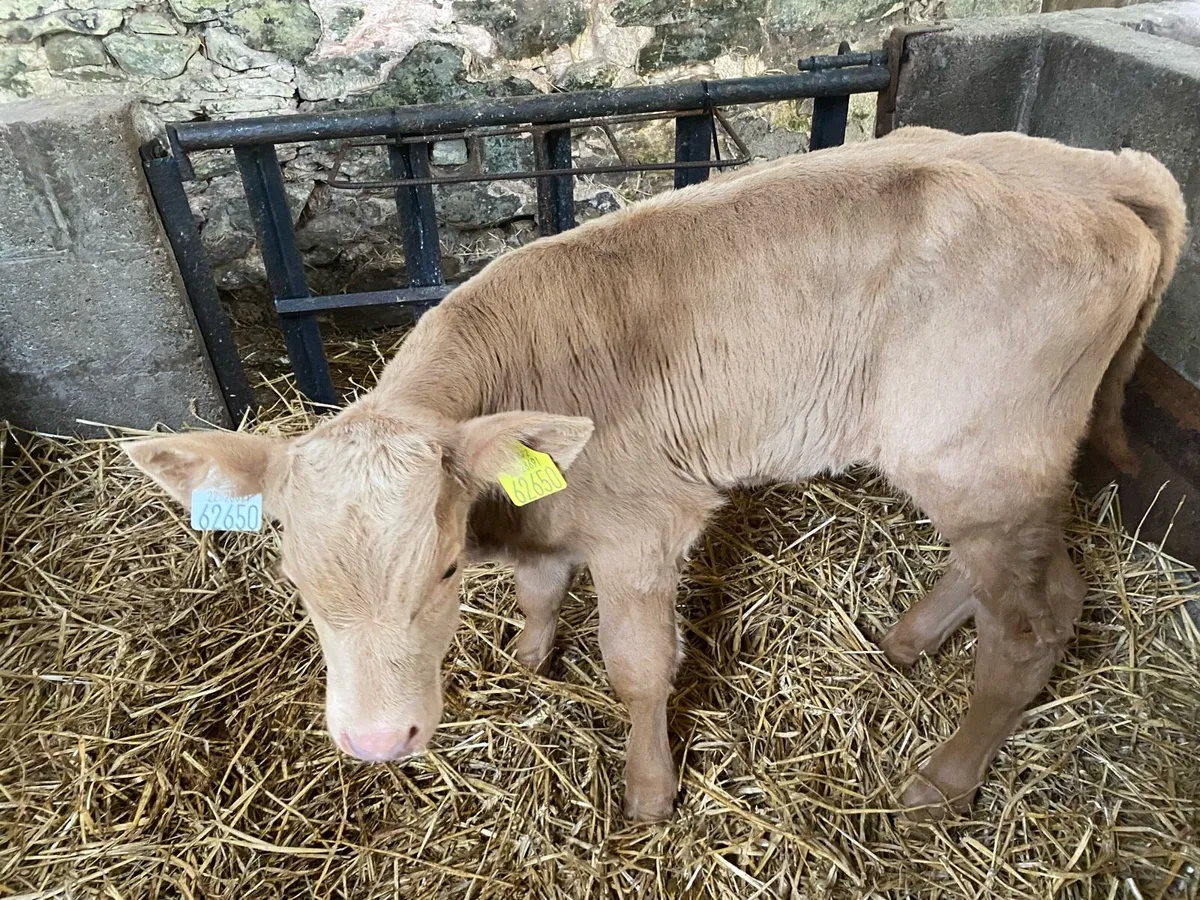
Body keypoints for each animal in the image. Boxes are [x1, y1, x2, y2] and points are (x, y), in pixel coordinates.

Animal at [124, 127, 1187, 822]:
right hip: (990, 463)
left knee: (1040, 614)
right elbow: (541, 588)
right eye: (296, 580)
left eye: (441, 572)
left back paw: (943, 778)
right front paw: (530, 655)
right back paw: (908, 640)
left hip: (978, 451)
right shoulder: (547, 518)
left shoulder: (645, 526)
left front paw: (648, 790)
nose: (378, 745)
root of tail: (1104, 174)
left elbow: (638, 669)